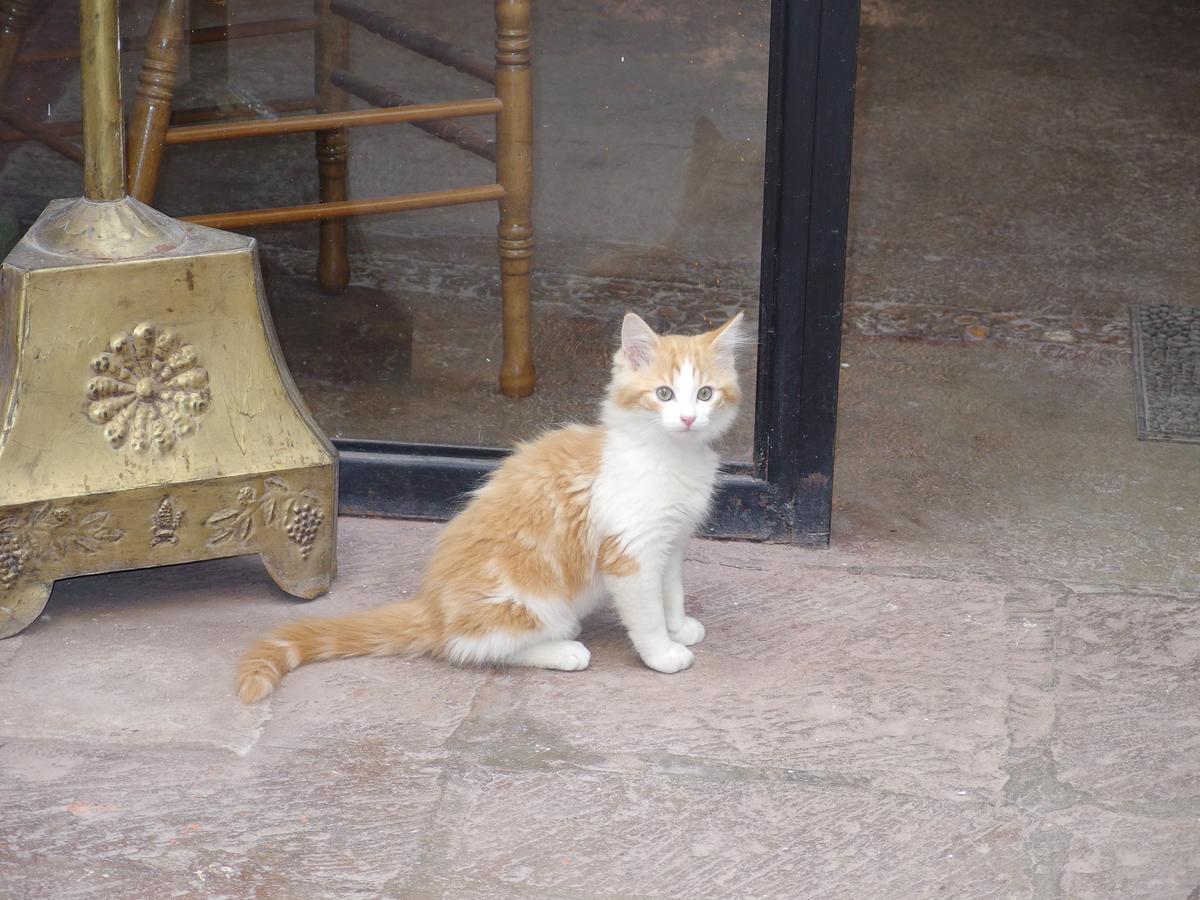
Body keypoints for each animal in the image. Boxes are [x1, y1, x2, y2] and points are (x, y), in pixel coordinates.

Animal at [231, 312, 748, 705]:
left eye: (704, 394)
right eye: (664, 394)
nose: (688, 418)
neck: (671, 457)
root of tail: (433, 607)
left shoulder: (670, 542)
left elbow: (672, 591)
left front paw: (679, 627)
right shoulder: (630, 554)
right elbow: (646, 613)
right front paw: (662, 653)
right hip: (529, 600)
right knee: (474, 648)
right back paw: (564, 651)